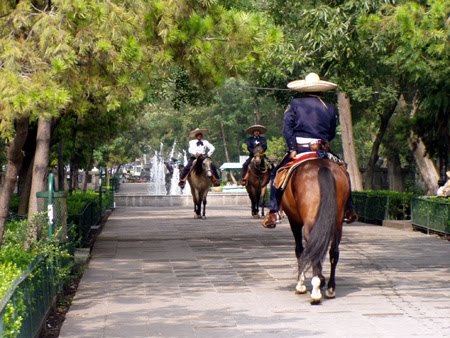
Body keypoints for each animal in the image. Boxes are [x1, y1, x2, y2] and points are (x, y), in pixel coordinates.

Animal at [272, 158, 350, 304]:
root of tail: (322, 166)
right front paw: (322, 279)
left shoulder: (294, 221)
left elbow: (300, 250)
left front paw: (301, 283)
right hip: (337, 222)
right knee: (333, 251)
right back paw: (330, 288)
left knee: (312, 247)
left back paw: (315, 291)